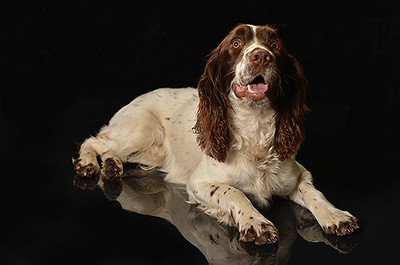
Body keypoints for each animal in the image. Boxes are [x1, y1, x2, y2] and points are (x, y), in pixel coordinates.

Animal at [72, 23, 360, 244]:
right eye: (236, 43)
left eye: (275, 45)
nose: (261, 56)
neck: (254, 129)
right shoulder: (199, 183)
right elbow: (234, 192)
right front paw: (256, 222)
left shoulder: (299, 174)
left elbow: (315, 194)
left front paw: (335, 216)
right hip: (142, 132)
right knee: (94, 141)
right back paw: (88, 164)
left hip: (150, 152)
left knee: (111, 150)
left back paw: (111, 165)